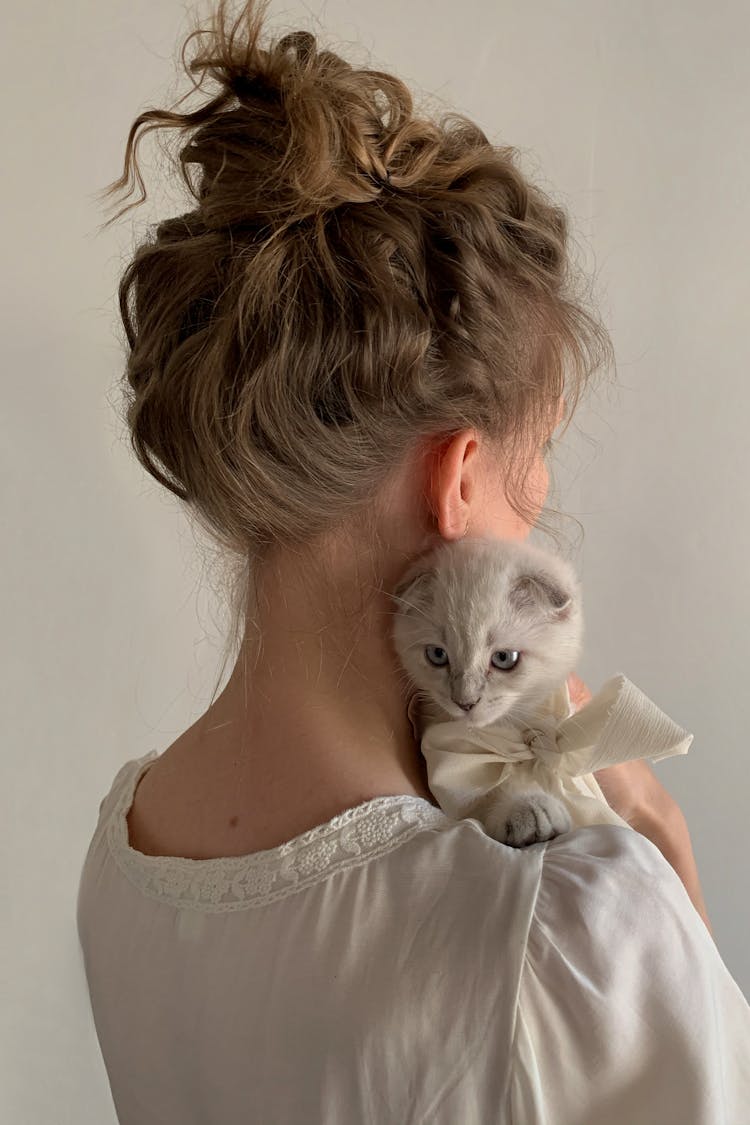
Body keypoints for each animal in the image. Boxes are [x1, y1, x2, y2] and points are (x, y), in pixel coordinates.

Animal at [391, 535, 584, 846]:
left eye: (504, 658)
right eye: (437, 655)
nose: (465, 702)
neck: (503, 733)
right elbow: (483, 798)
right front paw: (526, 807)